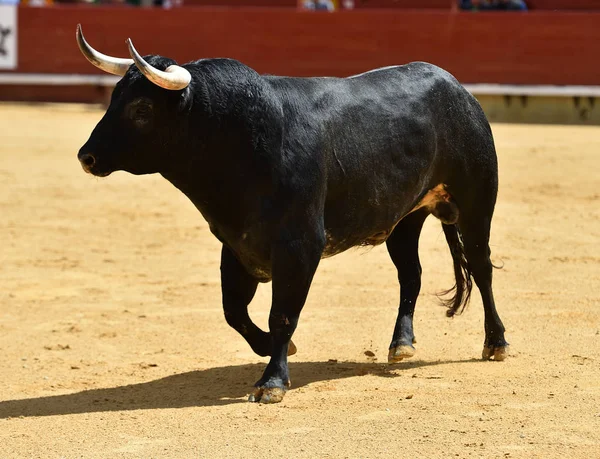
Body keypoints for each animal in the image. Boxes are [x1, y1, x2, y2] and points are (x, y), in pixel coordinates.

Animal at [75, 30, 506, 404]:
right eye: (114, 98)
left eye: (142, 108)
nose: (86, 156)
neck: (242, 139)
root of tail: (456, 88)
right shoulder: (236, 245)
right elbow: (234, 311)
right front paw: (270, 348)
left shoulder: (299, 247)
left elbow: (282, 314)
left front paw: (272, 382)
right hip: (405, 217)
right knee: (410, 274)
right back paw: (401, 344)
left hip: (477, 201)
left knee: (481, 265)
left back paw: (495, 342)